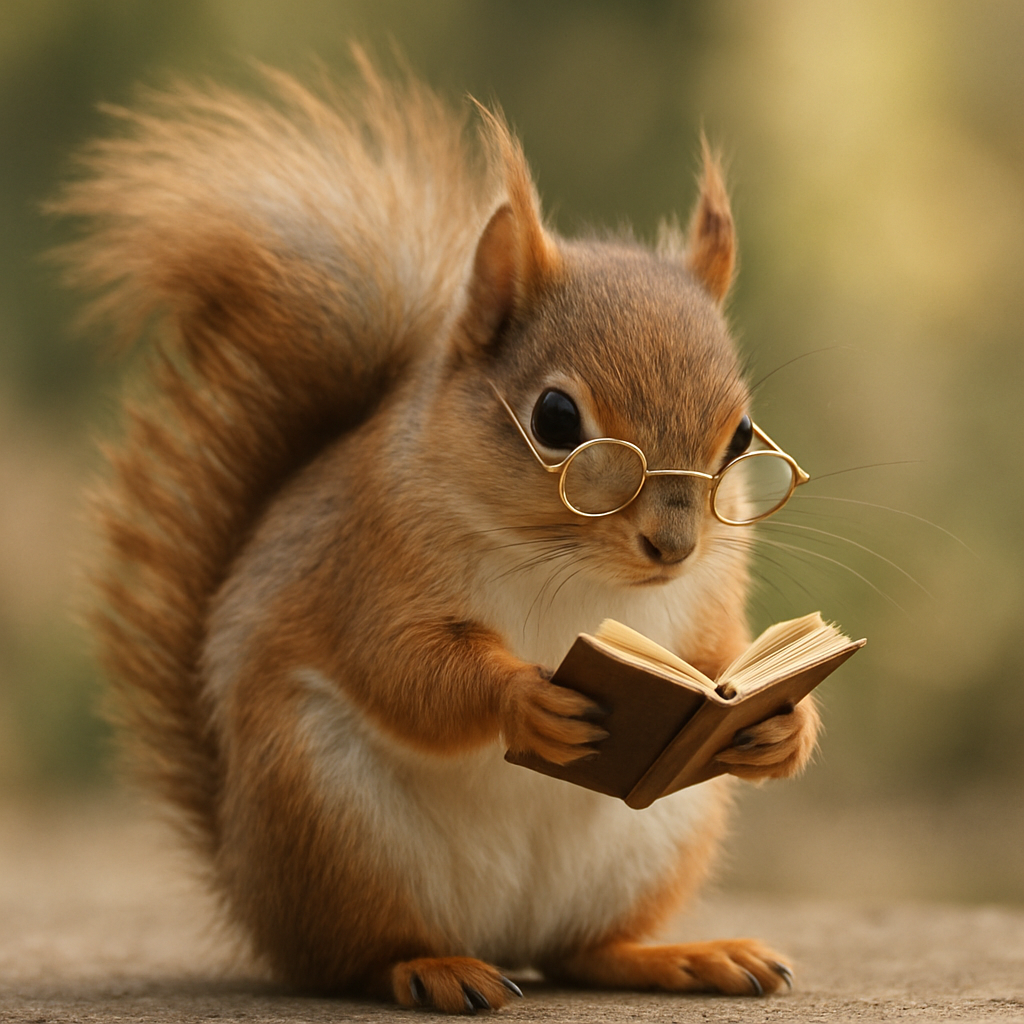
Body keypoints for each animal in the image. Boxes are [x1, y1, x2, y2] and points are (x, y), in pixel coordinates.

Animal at [58, 56, 820, 1014]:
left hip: (660, 835)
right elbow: (402, 665)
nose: (674, 547)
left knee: (584, 949)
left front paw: (784, 724)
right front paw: (526, 698)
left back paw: (682, 956)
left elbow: (721, 653)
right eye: (556, 417)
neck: (573, 573)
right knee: (353, 956)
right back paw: (430, 969)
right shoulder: (368, 562)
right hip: (329, 819)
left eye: (742, 435)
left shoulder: (708, 599)